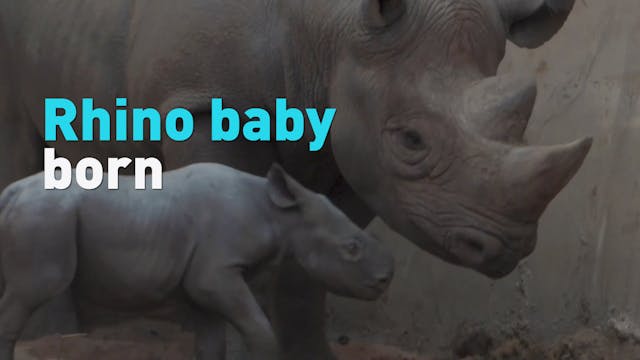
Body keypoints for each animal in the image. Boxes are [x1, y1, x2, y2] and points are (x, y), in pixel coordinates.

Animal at [0, 164, 396, 360]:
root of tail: (11, 191)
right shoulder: (216, 271)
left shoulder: (202, 280)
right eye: (351, 248)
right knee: (34, 290)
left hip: (40, 214)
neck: (280, 214)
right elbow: (259, 330)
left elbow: (210, 343)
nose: (385, 280)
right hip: (45, 215)